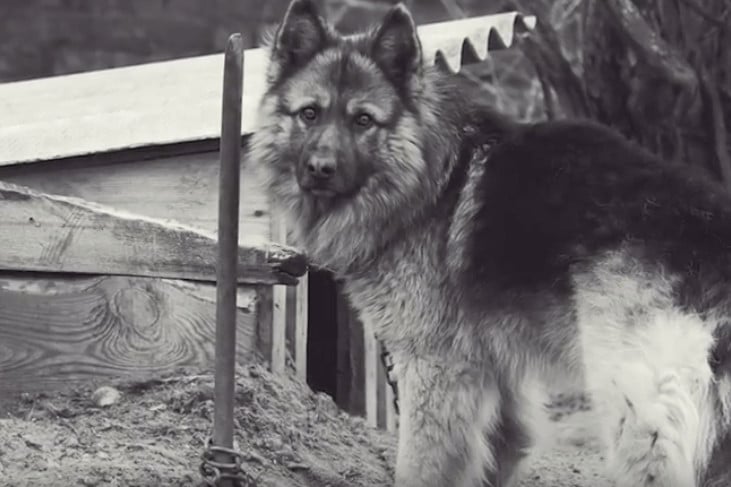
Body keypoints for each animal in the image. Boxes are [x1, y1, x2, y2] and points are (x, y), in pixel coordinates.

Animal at [249, 1, 731, 486]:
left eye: (363, 120)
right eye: (309, 113)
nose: (320, 168)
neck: (430, 181)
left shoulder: (434, 368)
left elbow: (419, 466)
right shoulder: (496, 374)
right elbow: (502, 449)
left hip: (633, 412)